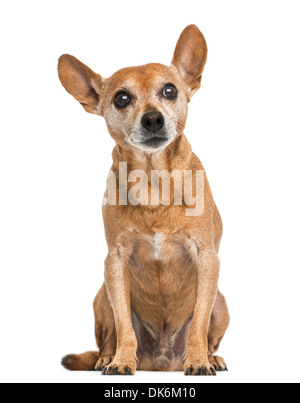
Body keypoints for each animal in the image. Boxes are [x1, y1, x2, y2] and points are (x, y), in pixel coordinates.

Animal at [59, 25, 232, 378]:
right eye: (121, 98)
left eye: (170, 91)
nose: (152, 118)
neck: (154, 184)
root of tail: (162, 360)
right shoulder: (115, 263)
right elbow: (124, 325)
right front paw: (122, 360)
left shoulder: (207, 258)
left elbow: (198, 324)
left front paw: (198, 360)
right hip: (102, 296)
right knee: (108, 337)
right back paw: (105, 359)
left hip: (222, 304)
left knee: (208, 329)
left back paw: (212, 358)